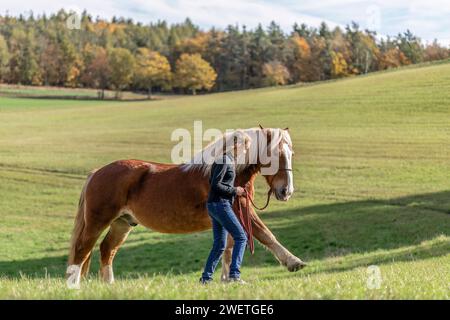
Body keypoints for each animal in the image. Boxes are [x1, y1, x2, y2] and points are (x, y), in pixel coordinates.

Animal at [66, 127, 306, 288]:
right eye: (275, 155)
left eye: (291, 154)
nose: (286, 191)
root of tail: (97, 172)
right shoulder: (240, 211)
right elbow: (265, 235)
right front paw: (294, 262)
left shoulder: (232, 215)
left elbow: (229, 247)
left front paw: (227, 279)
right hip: (98, 221)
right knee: (82, 249)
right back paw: (74, 285)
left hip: (122, 223)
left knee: (107, 249)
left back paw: (110, 285)